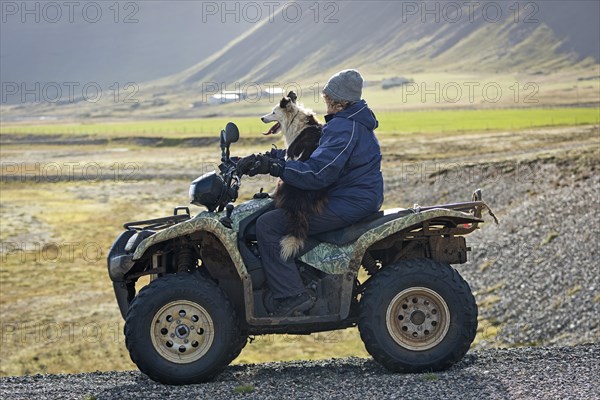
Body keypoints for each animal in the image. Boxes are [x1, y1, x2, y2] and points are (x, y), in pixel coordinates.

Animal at [262, 91, 328, 260]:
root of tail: (300, 203)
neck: (294, 120)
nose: (261, 118)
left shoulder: (290, 158)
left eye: (273, 112)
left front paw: (270, 194)